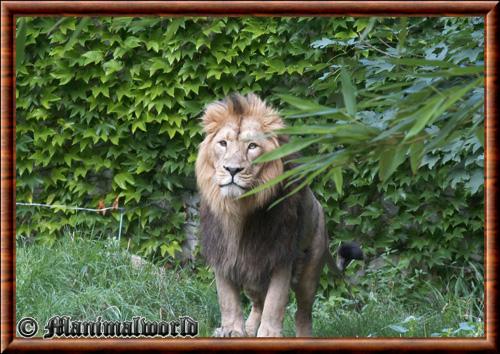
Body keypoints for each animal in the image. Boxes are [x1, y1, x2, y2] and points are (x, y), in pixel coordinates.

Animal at [193, 92, 362, 336]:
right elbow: (227, 299)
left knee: (302, 314)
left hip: (309, 273)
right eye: (223, 144)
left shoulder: (281, 256)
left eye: (252, 146)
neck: (239, 211)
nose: (232, 170)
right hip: (252, 276)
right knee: (257, 304)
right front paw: (231, 331)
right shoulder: (223, 255)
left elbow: (275, 303)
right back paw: (248, 329)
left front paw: (269, 335)